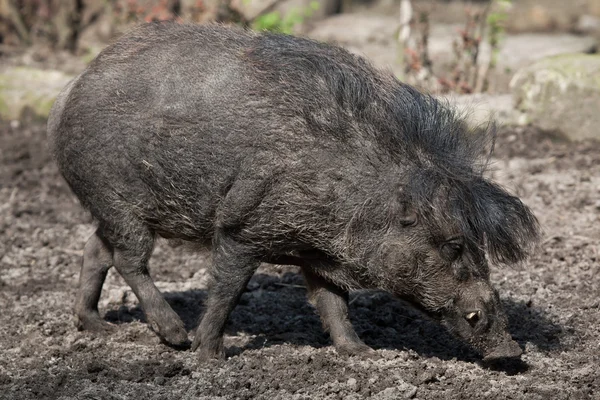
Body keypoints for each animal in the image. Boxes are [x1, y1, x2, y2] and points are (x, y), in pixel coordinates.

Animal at [48, 21, 540, 360]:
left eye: (477, 246)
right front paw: (210, 356)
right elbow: (227, 290)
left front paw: (362, 353)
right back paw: (175, 338)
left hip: (109, 209)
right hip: (118, 202)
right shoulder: (241, 227)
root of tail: (70, 89)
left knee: (96, 249)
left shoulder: (317, 254)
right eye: (452, 245)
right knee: (129, 260)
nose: (512, 352)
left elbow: (333, 303)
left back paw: (101, 329)